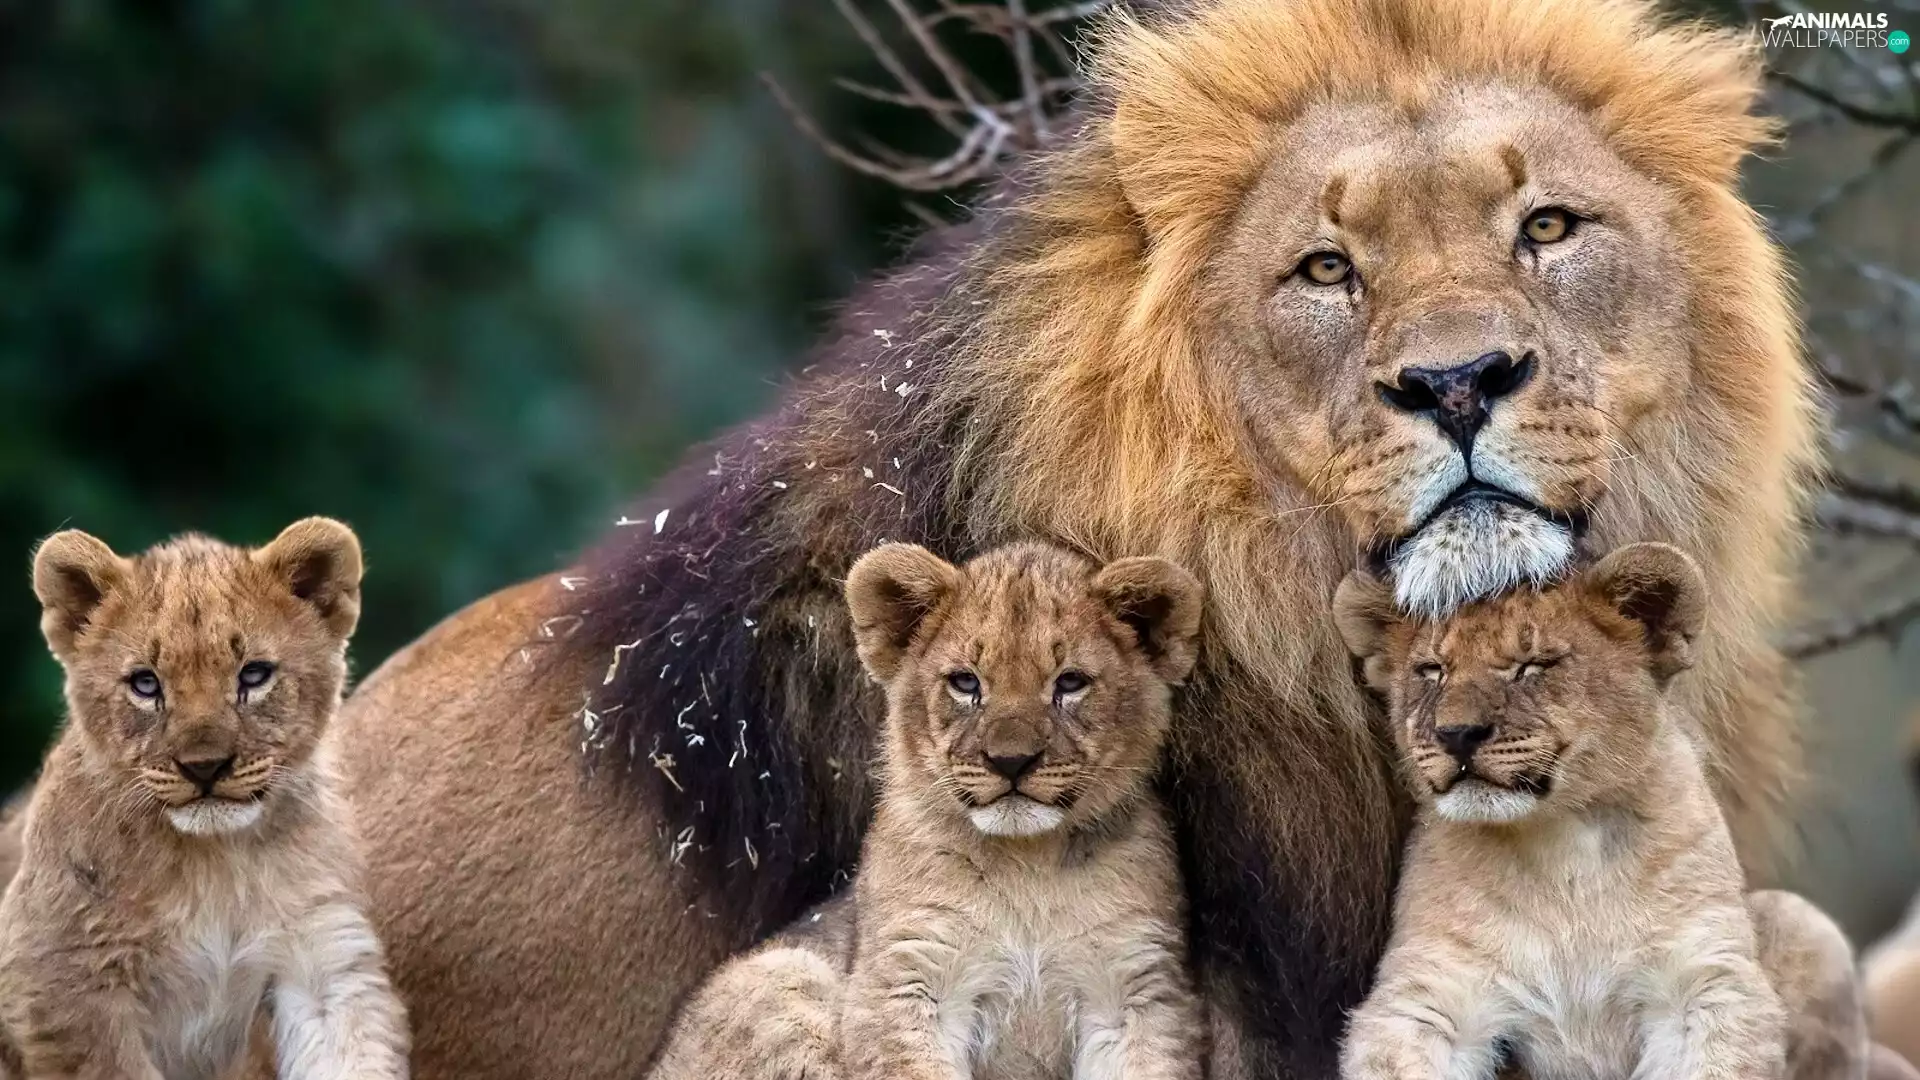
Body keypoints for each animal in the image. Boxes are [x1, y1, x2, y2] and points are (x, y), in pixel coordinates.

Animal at [1, 521, 408, 1079]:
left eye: (254, 674)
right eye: (145, 683)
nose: (204, 767)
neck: (216, 861)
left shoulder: (321, 953)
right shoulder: (61, 978)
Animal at [651, 542, 1206, 1080]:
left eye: (1070, 683)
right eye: (965, 682)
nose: (1010, 761)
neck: (1030, 864)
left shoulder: (1136, 991)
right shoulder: (905, 979)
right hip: (784, 977)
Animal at [1335, 544, 1869, 1080]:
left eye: (1533, 665)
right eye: (1431, 671)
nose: (1457, 734)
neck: (1559, 842)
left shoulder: (1705, 979)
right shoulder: (1428, 995)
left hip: (1803, 922)